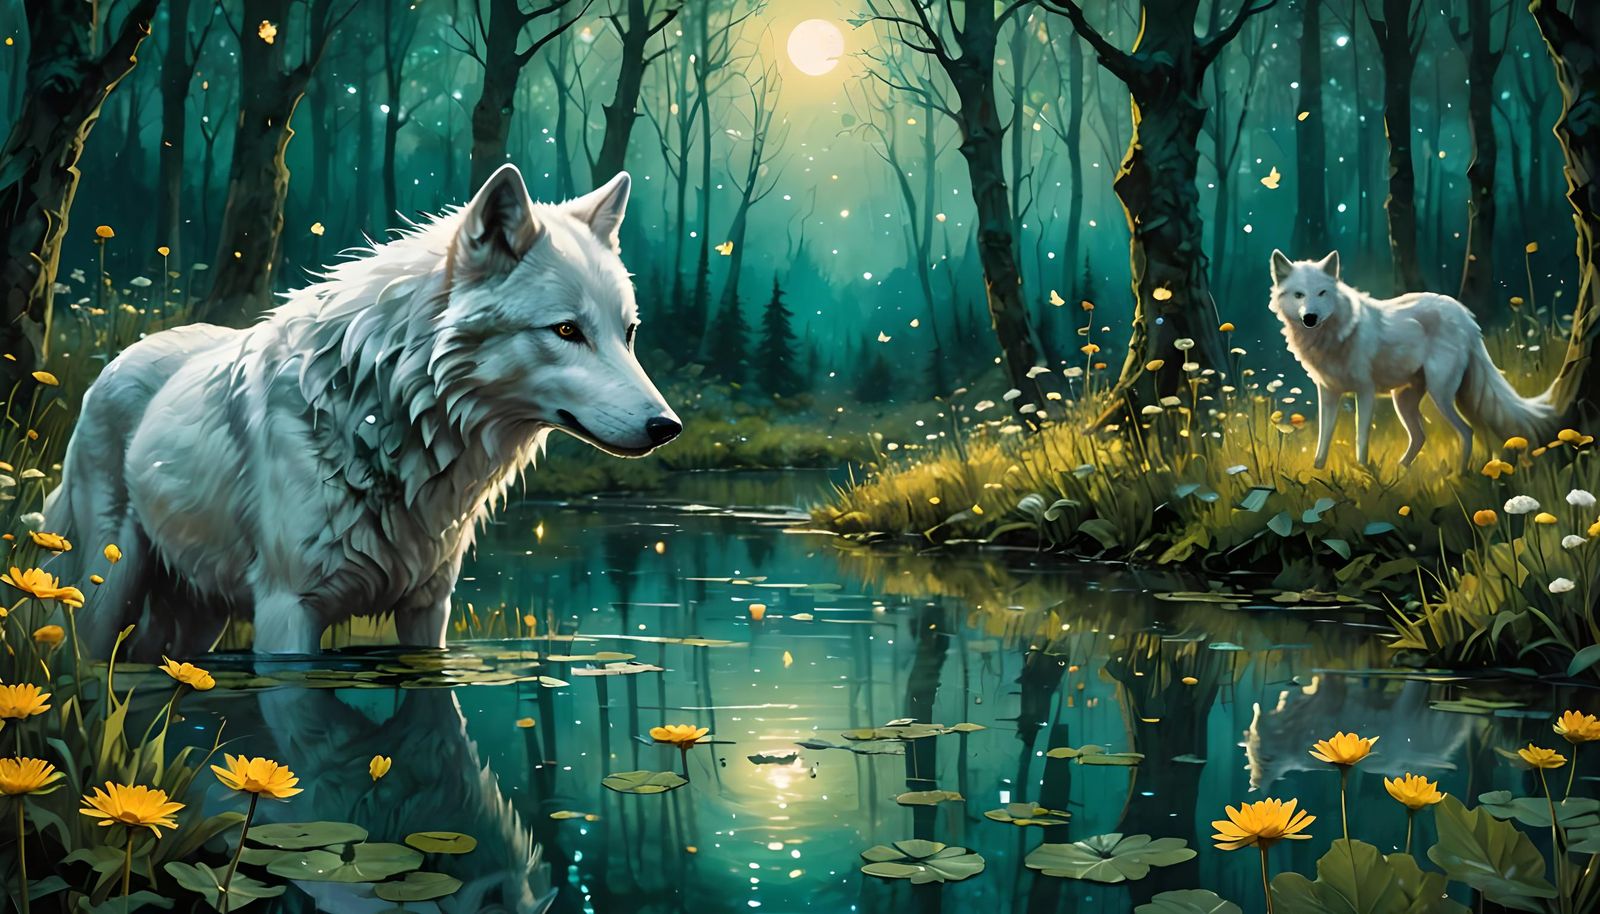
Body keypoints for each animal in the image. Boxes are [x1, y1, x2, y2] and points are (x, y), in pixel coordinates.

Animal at [46, 165, 680, 657]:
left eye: (628, 333)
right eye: (567, 331)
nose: (668, 427)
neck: (388, 416)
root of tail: (121, 355)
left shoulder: (429, 610)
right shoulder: (287, 611)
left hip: (200, 613)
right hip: (109, 587)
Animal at [1269, 250, 1554, 473]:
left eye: (1322, 293)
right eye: (1299, 295)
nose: (1310, 317)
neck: (1332, 337)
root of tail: (1466, 316)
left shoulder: (1365, 391)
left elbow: (1361, 437)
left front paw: (1363, 472)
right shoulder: (1327, 393)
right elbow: (1323, 437)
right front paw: (1317, 471)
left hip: (1440, 395)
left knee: (1466, 431)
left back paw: (1460, 474)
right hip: (1403, 399)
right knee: (1420, 437)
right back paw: (1401, 470)